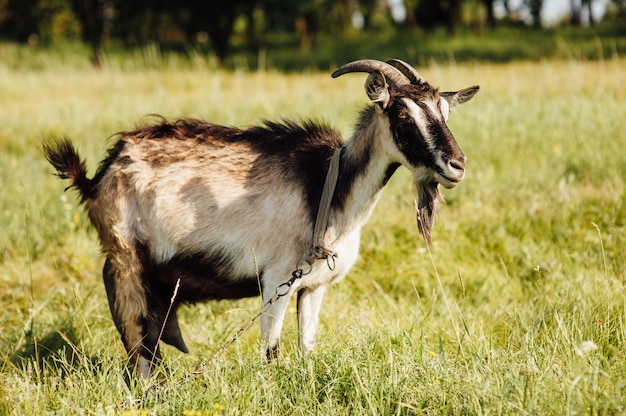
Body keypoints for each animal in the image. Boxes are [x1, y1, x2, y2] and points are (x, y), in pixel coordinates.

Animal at [44, 59, 478, 376]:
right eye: (403, 118)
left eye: (444, 113)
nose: (457, 165)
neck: (326, 188)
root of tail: (98, 175)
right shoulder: (275, 280)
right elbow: (271, 350)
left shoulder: (314, 287)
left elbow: (307, 348)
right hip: (125, 257)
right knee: (137, 339)